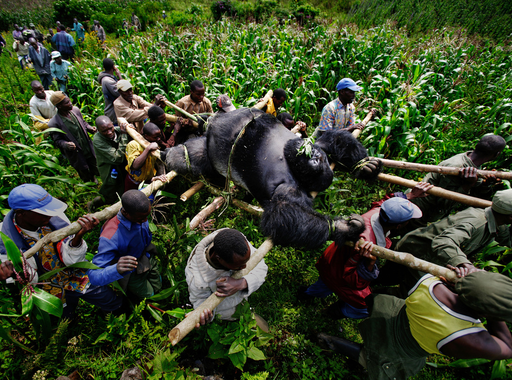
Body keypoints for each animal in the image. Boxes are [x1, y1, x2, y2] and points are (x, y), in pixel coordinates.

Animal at [164, 108, 380, 248]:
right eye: (312, 159)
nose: (313, 158)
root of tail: (213, 122)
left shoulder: (313, 151)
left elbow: (334, 138)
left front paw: (365, 166)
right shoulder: (291, 180)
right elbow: (282, 214)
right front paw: (342, 227)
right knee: (191, 155)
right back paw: (175, 153)